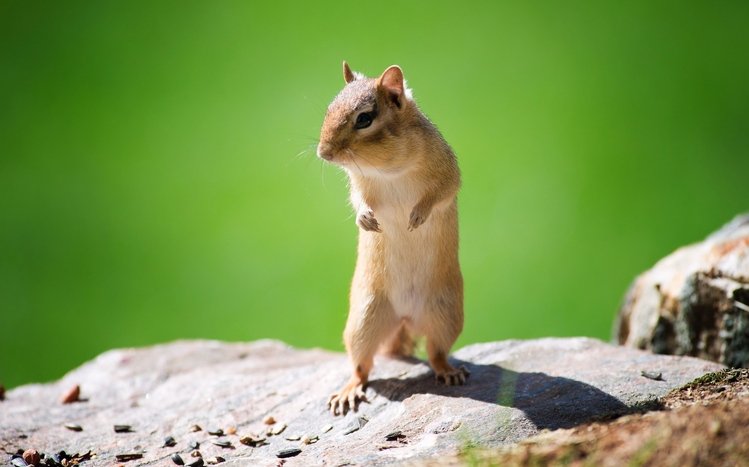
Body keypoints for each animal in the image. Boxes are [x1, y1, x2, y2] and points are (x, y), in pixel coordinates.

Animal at [317, 62, 467, 416]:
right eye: (329, 108)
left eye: (364, 119)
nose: (322, 153)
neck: (387, 168)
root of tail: (405, 318)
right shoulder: (359, 184)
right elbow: (358, 201)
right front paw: (365, 219)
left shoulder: (447, 170)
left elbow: (443, 192)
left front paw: (418, 215)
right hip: (363, 320)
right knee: (362, 366)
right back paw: (348, 391)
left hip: (446, 315)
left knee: (436, 352)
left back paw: (448, 371)